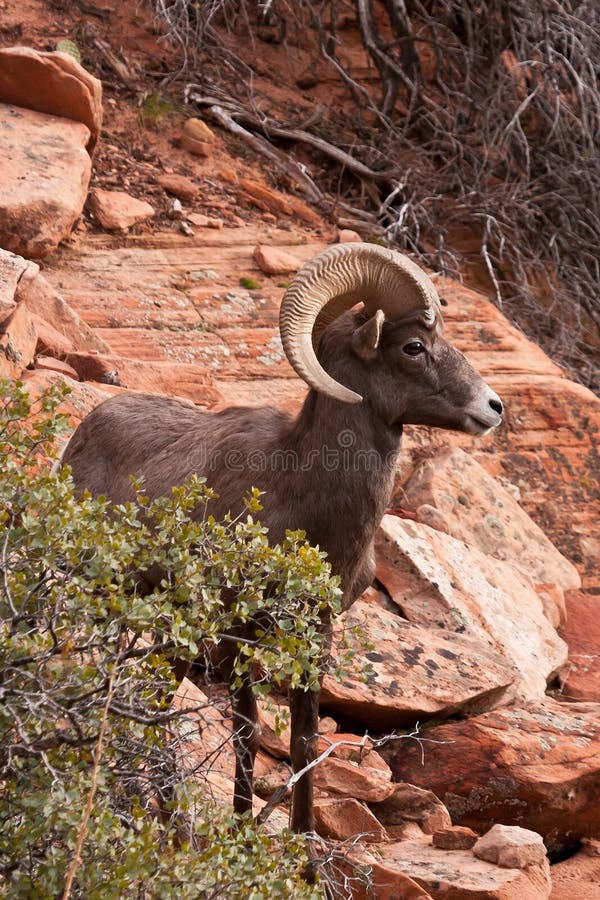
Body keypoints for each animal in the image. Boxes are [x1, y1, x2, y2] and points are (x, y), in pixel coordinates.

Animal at [62, 243, 502, 832]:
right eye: (414, 346)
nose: (494, 407)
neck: (302, 493)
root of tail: (81, 437)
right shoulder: (235, 633)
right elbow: (247, 735)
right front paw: (240, 833)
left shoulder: (317, 633)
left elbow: (304, 742)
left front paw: (303, 846)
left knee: (149, 701)